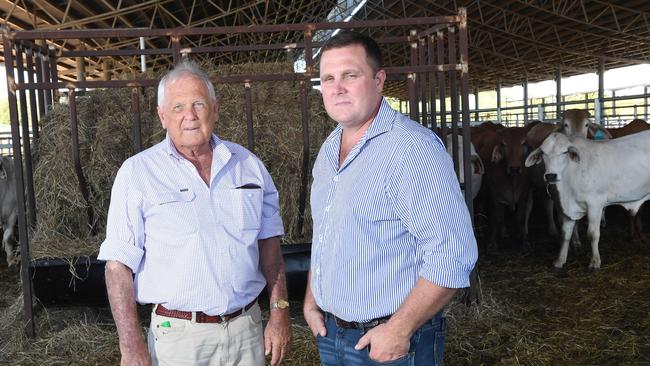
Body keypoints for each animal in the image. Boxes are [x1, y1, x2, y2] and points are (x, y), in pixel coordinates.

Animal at [524, 131, 650, 268]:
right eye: (543, 153)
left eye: (564, 152)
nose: (551, 176)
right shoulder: (567, 209)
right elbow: (565, 235)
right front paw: (560, 260)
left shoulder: (595, 204)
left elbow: (592, 234)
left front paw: (595, 262)